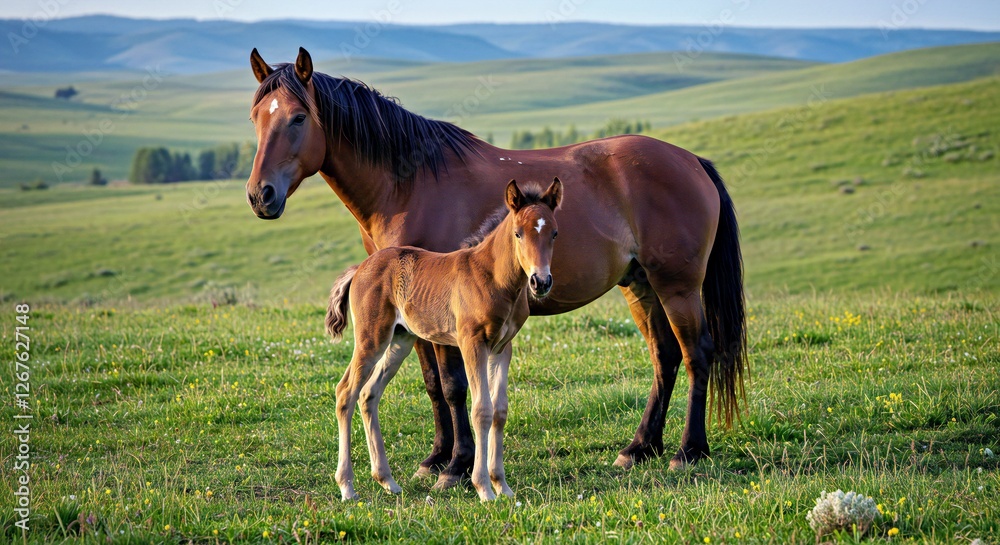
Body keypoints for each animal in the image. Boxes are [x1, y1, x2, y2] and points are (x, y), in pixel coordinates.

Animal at [326, 179, 562, 501]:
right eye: (518, 233)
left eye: (554, 233)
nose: (541, 282)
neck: (494, 277)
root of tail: (360, 268)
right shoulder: (472, 343)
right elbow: (482, 410)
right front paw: (483, 489)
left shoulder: (502, 347)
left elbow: (499, 411)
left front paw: (502, 486)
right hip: (371, 337)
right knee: (345, 392)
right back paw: (347, 487)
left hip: (400, 339)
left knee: (368, 394)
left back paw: (387, 481)